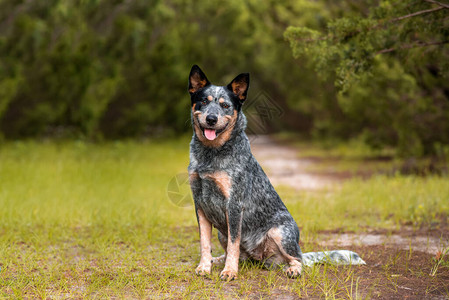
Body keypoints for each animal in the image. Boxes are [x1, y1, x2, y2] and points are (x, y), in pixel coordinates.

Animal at [186, 65, 364, 282]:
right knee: (235, 253)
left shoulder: (234, 205)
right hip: (222, 232)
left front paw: (230, 272)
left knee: (297, 259)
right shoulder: (200, 204)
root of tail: (257, 258)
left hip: (281, 232)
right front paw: (204, 267)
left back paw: (292, 269)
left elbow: (234, 243)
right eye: (204, 101)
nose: (211, 119)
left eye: (225, 105)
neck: (210, 154)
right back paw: (218, 260)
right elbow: (205, 243)